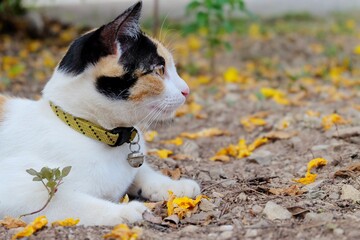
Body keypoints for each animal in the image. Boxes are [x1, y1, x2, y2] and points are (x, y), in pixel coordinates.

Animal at [0, 1, 200, 227]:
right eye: (159, 70)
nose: (186, 90)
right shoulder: (16, 188)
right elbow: (67, 201)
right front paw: (124, 210)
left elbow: (141, 171)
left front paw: (175, 186)